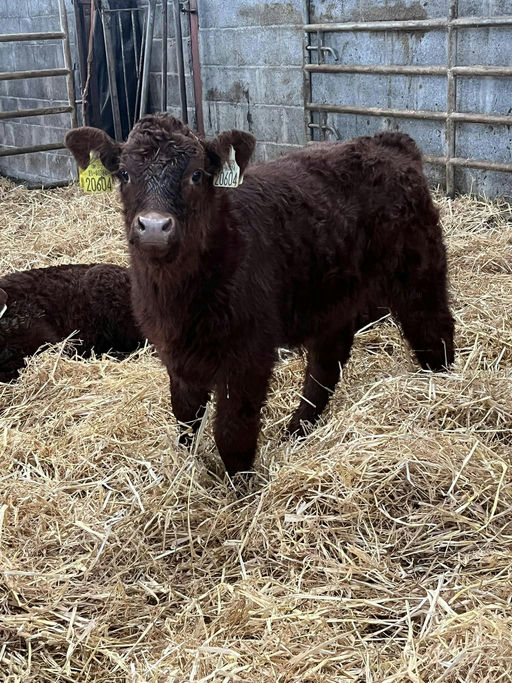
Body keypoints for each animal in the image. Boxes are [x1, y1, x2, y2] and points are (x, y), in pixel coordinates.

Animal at [66, 115, 454, 476]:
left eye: (196, 175)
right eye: (125, 174)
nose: (154, 227)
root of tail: (389, 142)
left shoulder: (248, 355)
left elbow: (232, 432)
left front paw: (241, 491)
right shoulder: (176, 355)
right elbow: (186, 420)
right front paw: (192, 469)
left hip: (419, 271)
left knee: (434, 330)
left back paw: (442, 387)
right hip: (331, 298)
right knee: (326, 364)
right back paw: (297, 429)